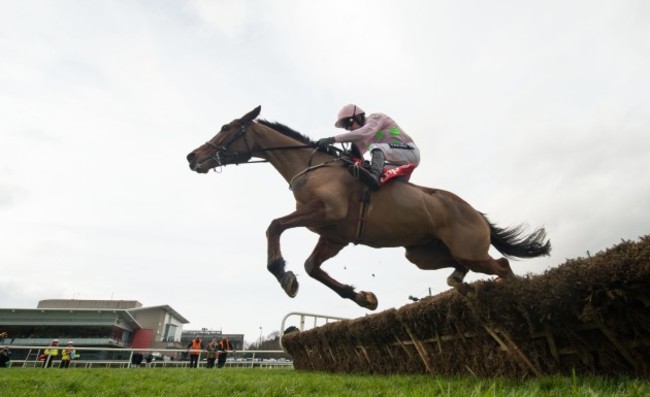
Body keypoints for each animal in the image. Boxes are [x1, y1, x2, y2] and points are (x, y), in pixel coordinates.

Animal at [185, 106, 548, 310]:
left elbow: (274, 225)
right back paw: (463, 287)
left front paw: (281, 272)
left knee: (502, 266)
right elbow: (312, 267)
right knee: (466, 269)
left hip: (468, 248)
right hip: (424, 254)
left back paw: (520, 300)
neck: (311, 166)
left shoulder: (328, 211)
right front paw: (364, 298)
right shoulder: (333, 235)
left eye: (227, 128)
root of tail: (475, 212)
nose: (192, 156)